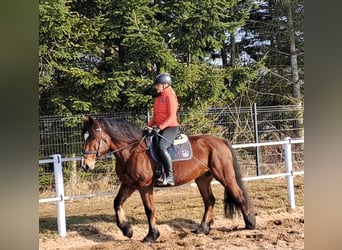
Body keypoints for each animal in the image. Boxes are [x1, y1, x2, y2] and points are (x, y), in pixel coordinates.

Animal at [81, 114, 255, 242]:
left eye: (93, 138)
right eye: (84, 137)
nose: (85, 165)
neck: (131, 151)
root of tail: (220, 141)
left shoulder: (144, 186)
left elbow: (149, 209)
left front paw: (151, 235)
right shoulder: (129, 184)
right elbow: (117, 202)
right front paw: (127, 230)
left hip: (225, 176)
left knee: (239, 195)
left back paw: (250, 223)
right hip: (203, 178)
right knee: (209, 201)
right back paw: (203, 229)